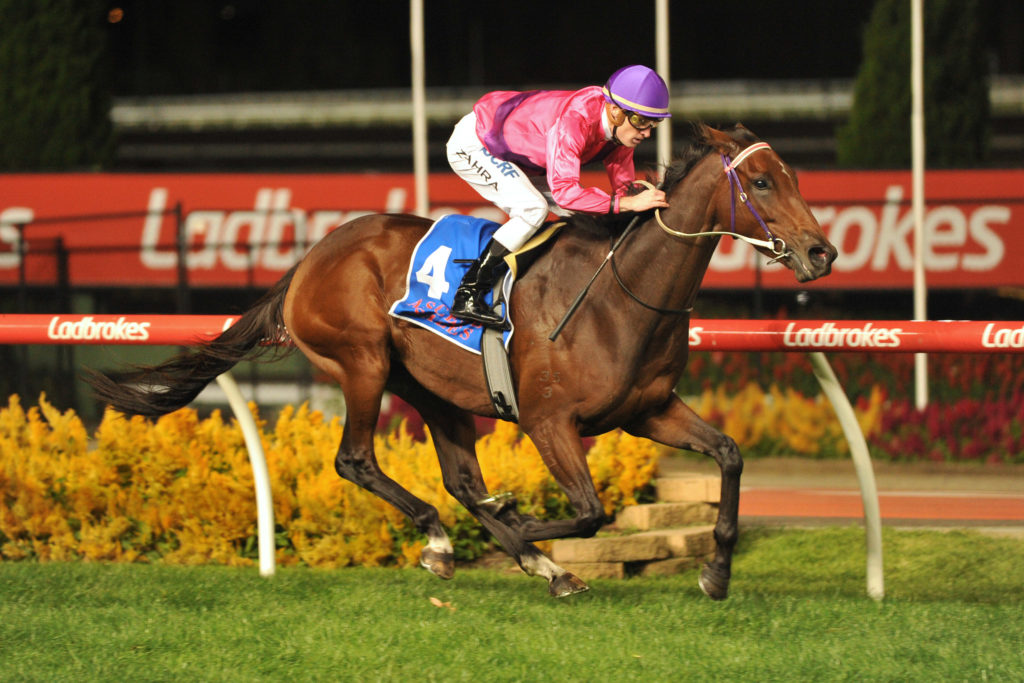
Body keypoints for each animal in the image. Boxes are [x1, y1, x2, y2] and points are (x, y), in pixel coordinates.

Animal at [87, 123, 837, 599]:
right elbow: (591, 510)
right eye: (761, 182)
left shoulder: (649, 410)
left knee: (459, 479)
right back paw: (452, 544)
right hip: (362, 362)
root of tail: (311, 256)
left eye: (793, 176)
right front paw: (527, 527)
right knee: (357, 460)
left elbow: (730, 455)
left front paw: (716, 572)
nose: (821, 251)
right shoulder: (547, 420)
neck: (620, 295)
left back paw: (527, 557)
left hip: (433, 390)